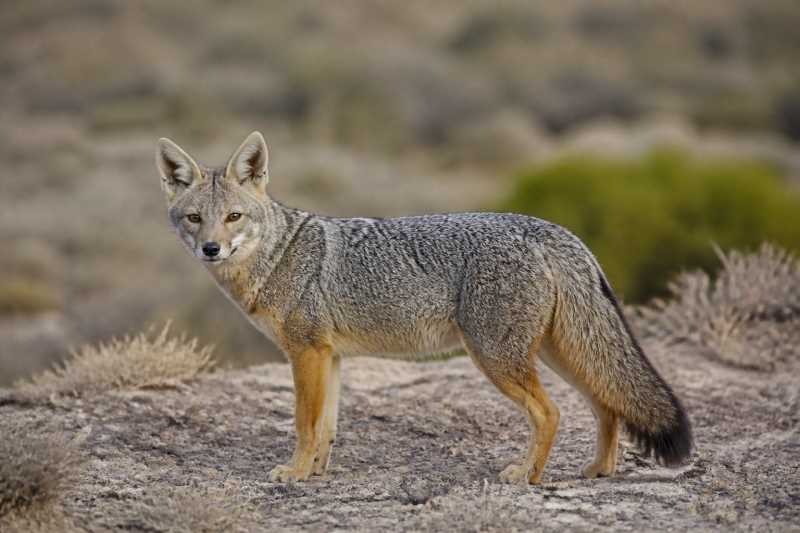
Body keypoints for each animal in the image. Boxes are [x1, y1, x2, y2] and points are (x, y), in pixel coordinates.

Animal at [156, 131, 692, 485]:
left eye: (233, 217)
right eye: (195, 218)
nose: (211, 249)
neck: (278, 255)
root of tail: (550, 229)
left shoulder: (305, 353)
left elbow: (305, 424)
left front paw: (294, 472)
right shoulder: (330, 356)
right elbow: (327, 427)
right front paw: (316, 473)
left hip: (497, 358)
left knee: (552, 412)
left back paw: (527, 475)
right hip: (555, 352)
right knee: (607, 405)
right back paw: (599, 469)